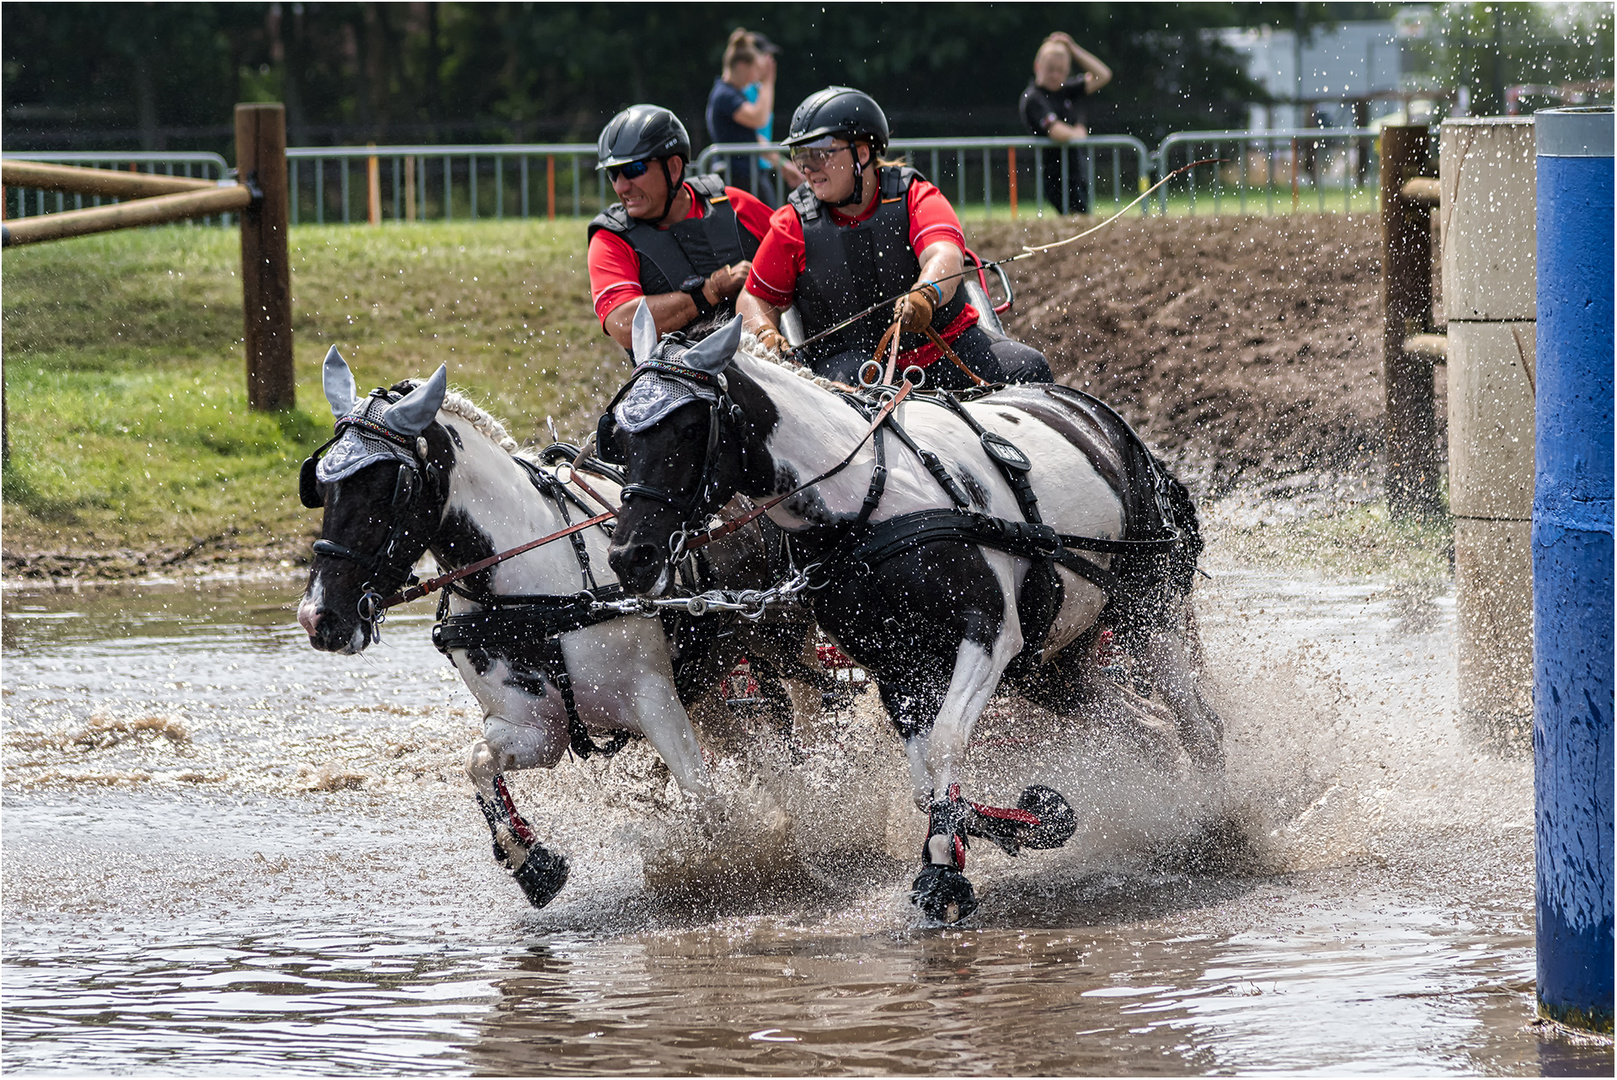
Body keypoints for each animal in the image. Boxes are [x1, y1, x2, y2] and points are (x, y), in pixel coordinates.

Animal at [295, 352, 821, 911]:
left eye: (390, 486)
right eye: (320, 486)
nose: (317, 617)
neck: (530, 590)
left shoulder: (655, 698)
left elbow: (701, 796)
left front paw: (733, 868)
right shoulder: (538, 728)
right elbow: (477, 762)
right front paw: (532, 861)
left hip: (781, 640)